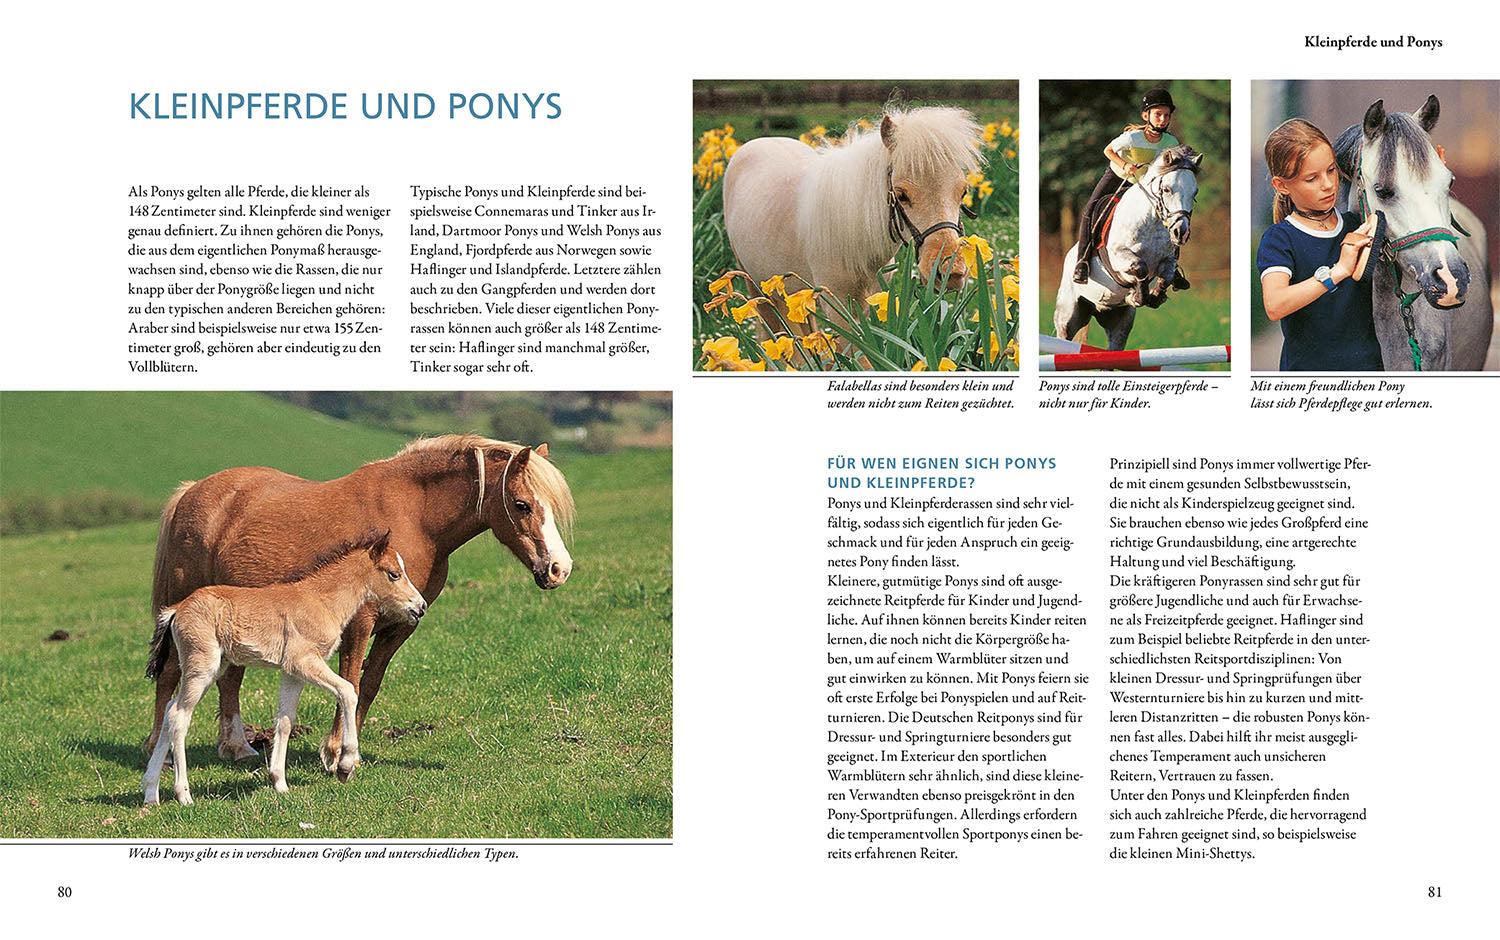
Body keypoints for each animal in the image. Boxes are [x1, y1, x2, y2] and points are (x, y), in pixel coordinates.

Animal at [143, 531, 427, 805]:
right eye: (394, 574)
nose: (421, 606)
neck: (321, 600)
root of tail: (176, 609)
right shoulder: (305, 660)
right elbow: (348, 691)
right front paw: (345, 766)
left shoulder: (293, 673)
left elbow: (285, 720)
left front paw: (279, 782)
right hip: (202, 666)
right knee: (178, 716)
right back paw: (183, 795)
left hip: (213, 666)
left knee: (169, 710)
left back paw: (150, 793)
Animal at [144, 434, 574, 775]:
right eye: (521, 504)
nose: (559, 569)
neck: (414, 518)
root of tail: (191, 492)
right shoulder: (360, 622)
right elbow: (348, 681)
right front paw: (337, 754)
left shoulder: (402, 625)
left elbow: (368, 685)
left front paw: (350, 753)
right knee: (170, 677)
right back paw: (158, 752)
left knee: (230, 678)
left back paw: (237, 747)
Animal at [1053, 145, 1203, 351]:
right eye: (1166, 189)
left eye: (1194, 193)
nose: (1180, 232)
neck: (1151, 221)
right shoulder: (1117, 255)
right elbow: (1140, 266)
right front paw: (1139, 296)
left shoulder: (1167, 260)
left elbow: (1166, 275)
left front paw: (1154, 296)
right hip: (1068, 316)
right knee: (1064, 334)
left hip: (1119, 324)